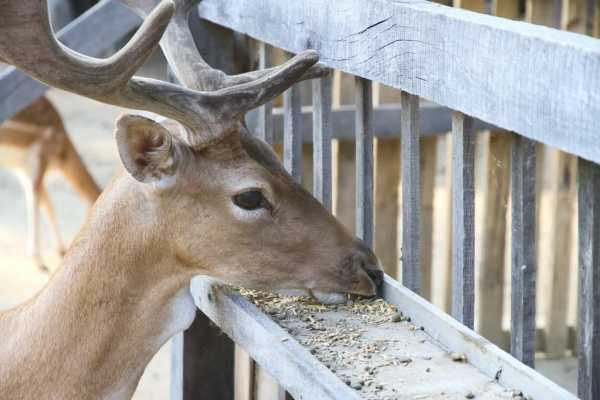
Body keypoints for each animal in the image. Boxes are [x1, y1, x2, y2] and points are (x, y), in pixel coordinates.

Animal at [0, 97, 101, 272]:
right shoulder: (37, 161)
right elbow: (37, 204)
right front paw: (40, 263)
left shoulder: (25, 171)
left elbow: (47, 205)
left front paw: (61, 250)